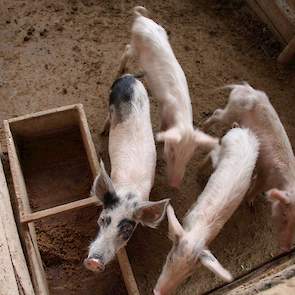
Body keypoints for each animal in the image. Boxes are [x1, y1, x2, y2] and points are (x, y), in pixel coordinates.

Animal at [84, 74, 170, 272]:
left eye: (127, 231)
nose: (93, 262)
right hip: (110, 99)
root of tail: (129, 77)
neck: (129, 193)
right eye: (102, 219)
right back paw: (103, 131)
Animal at [118, 6, 220, 187]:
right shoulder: (164, 109)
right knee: (127, 48)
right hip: (135, 46)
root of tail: (141, 19)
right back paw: (121, 69)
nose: (174, 183)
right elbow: (163, 126)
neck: (180, 117)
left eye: (189, 156)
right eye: (171, 151)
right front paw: (159, 138)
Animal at [154, 128, 260, 295]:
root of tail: (244, 131)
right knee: (213, 152)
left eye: (188, 274)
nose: (156, 292)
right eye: (169, 258)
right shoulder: (188, 215)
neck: (197, 233)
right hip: (224, 143)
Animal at [205, 83, 295, 252]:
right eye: (285, 216)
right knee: (217, 113)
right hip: (231, 110)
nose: (286, 248)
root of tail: (245, 87)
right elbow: (256, 188)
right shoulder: (265, 176)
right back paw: (203, 126)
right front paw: (250, 203)